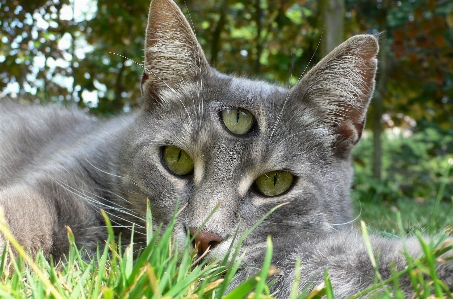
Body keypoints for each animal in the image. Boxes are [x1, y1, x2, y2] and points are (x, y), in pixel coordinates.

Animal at [0, 0, 450, 298]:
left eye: (275, 183)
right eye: (176, 159)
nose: (203, 238)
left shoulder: (291, 254)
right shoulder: (61, 184)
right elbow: (20, 219)